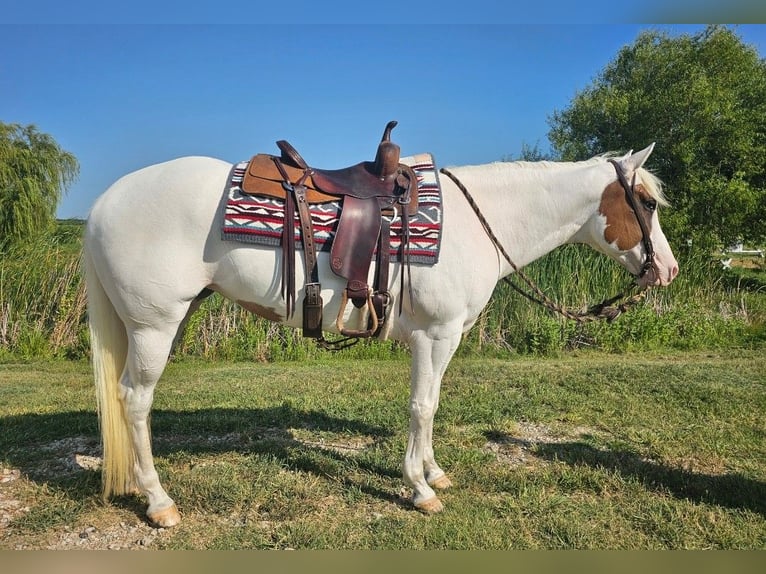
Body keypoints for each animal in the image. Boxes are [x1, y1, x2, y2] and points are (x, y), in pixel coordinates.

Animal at [83, 140, 678, 527]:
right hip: (154, 326)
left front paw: (435, 473)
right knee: (134, 400)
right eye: (647, 203)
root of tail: (103, 203)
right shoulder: (435, 336)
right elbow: (421, 406)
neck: (475, 224)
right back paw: (159, 502)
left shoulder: (444, 340)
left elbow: (432, 404)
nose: (668, 271)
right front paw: (419, 489)